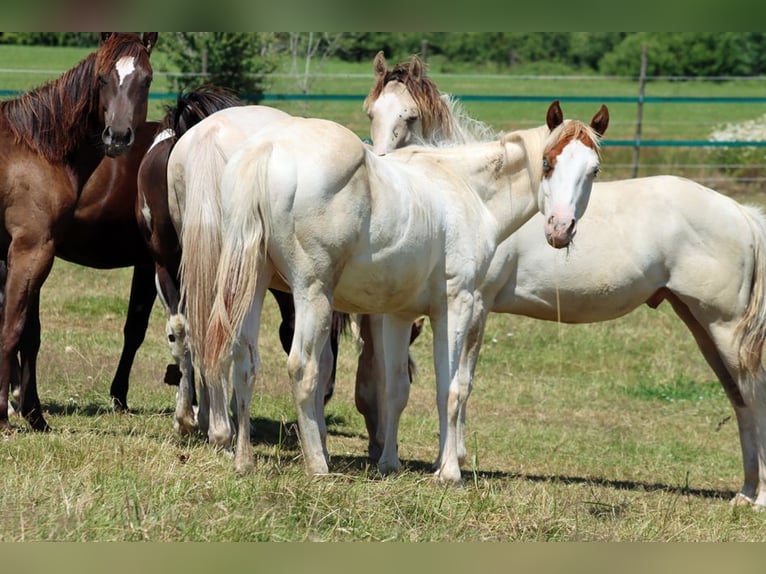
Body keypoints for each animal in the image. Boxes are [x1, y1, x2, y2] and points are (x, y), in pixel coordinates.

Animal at [0, 32, 157, 432]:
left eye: (147, 80)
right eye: (102, 78)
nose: (117, 136)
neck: (38, 149)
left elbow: (26, 333)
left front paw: (32, 413)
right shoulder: (30, 250)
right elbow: (13, 330)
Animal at [177, 100, 608, 482]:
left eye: (594, 170)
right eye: (547, 163)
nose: (560, 228)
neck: (466, 190)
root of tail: (267, 149)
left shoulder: (400, 315)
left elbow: (397, 390)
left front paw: (389, 463)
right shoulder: (457, 304)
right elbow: (451, 388)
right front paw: (448, 472)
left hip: (252, 282)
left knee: (243, 361)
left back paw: (243, 459)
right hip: (312, 293)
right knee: (302, 367)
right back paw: (317, 464)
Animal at [361, 52, 766, 509]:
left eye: (409, 116)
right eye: (371, 111)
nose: (383, 163)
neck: (472, 197)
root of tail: (742, 213)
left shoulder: (476, 305)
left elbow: (460, 383)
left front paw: (453, 460)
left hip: (725, 328)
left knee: (755, 396)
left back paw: (759, 496)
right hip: (701, 324)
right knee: (740, 399)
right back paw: (745, 492)